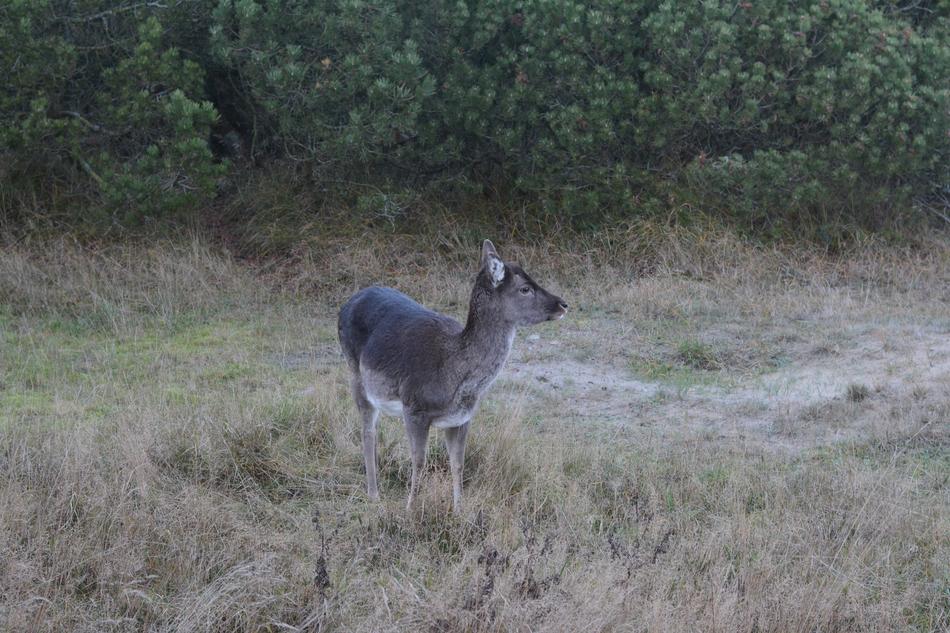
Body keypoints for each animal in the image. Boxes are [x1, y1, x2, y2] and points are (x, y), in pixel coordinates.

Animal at [337, 240, 567, 512]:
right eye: (525, 289)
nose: (563, 304)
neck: (455, 376)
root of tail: (347, 303)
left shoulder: (461, 417)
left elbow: (457, 462)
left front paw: (459, 510)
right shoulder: (414, 408)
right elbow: (419, 461)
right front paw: (411, 509)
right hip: (354, 371)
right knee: (367, 431)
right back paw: (373, 494)